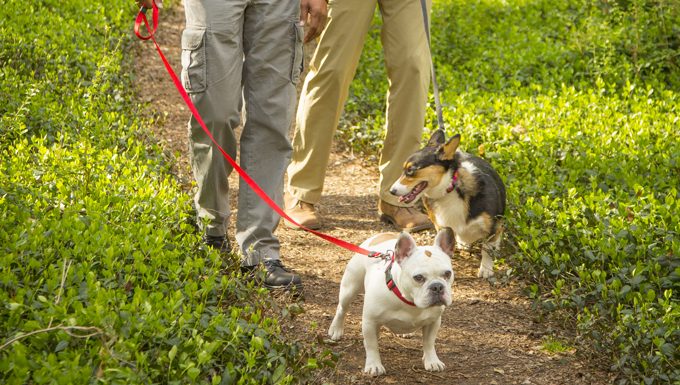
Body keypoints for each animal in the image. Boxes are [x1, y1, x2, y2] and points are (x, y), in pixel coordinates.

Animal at [328, 228, 454, 376]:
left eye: (448, 273)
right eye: (418, 277)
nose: (437, 286)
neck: (409, 301)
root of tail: (381, 234)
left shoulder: (433, 322)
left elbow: (429, 343)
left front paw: (432, 361)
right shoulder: (370, 321)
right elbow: (371, 345)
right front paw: (374, 365)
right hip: (350, 288)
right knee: (341, 308)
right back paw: (336, 329)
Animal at [388, 130, 504, 278]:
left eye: (411, 170)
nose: (391, 191)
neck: (450, 189)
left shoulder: (495, 228)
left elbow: (487, 249)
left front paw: (486, 269)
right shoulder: (441, 226)